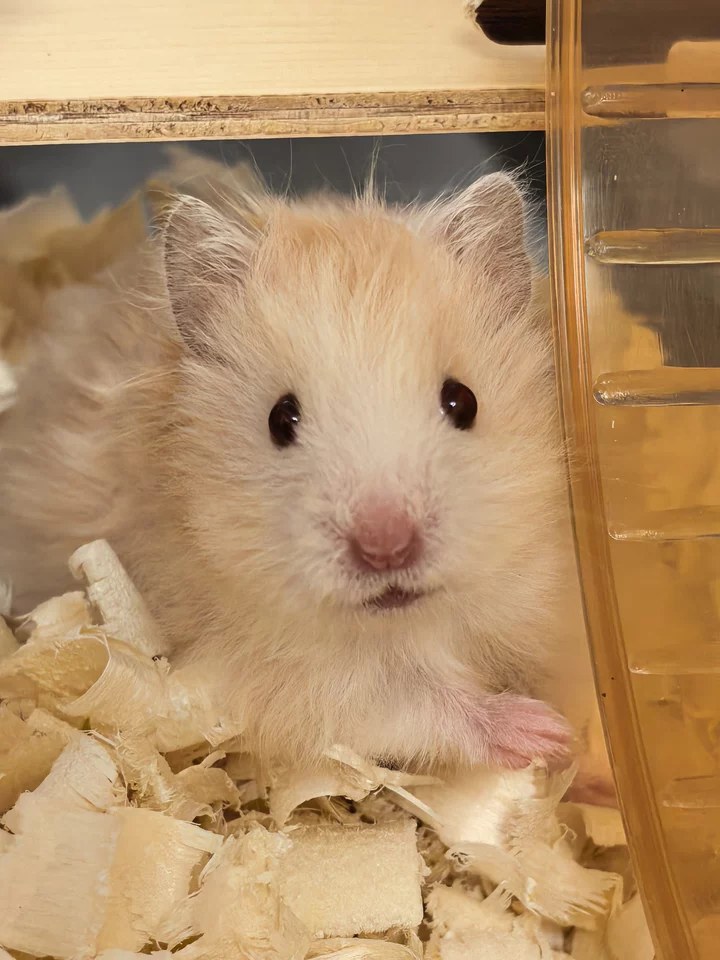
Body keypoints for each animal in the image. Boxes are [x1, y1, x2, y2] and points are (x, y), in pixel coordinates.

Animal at [0, 170, 610, 784]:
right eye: (280, 419)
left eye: (463, 401)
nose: (386, 549)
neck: (410, 622)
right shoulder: (284, 676)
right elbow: (414, 705)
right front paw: (543, 733)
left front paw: (578, 753)